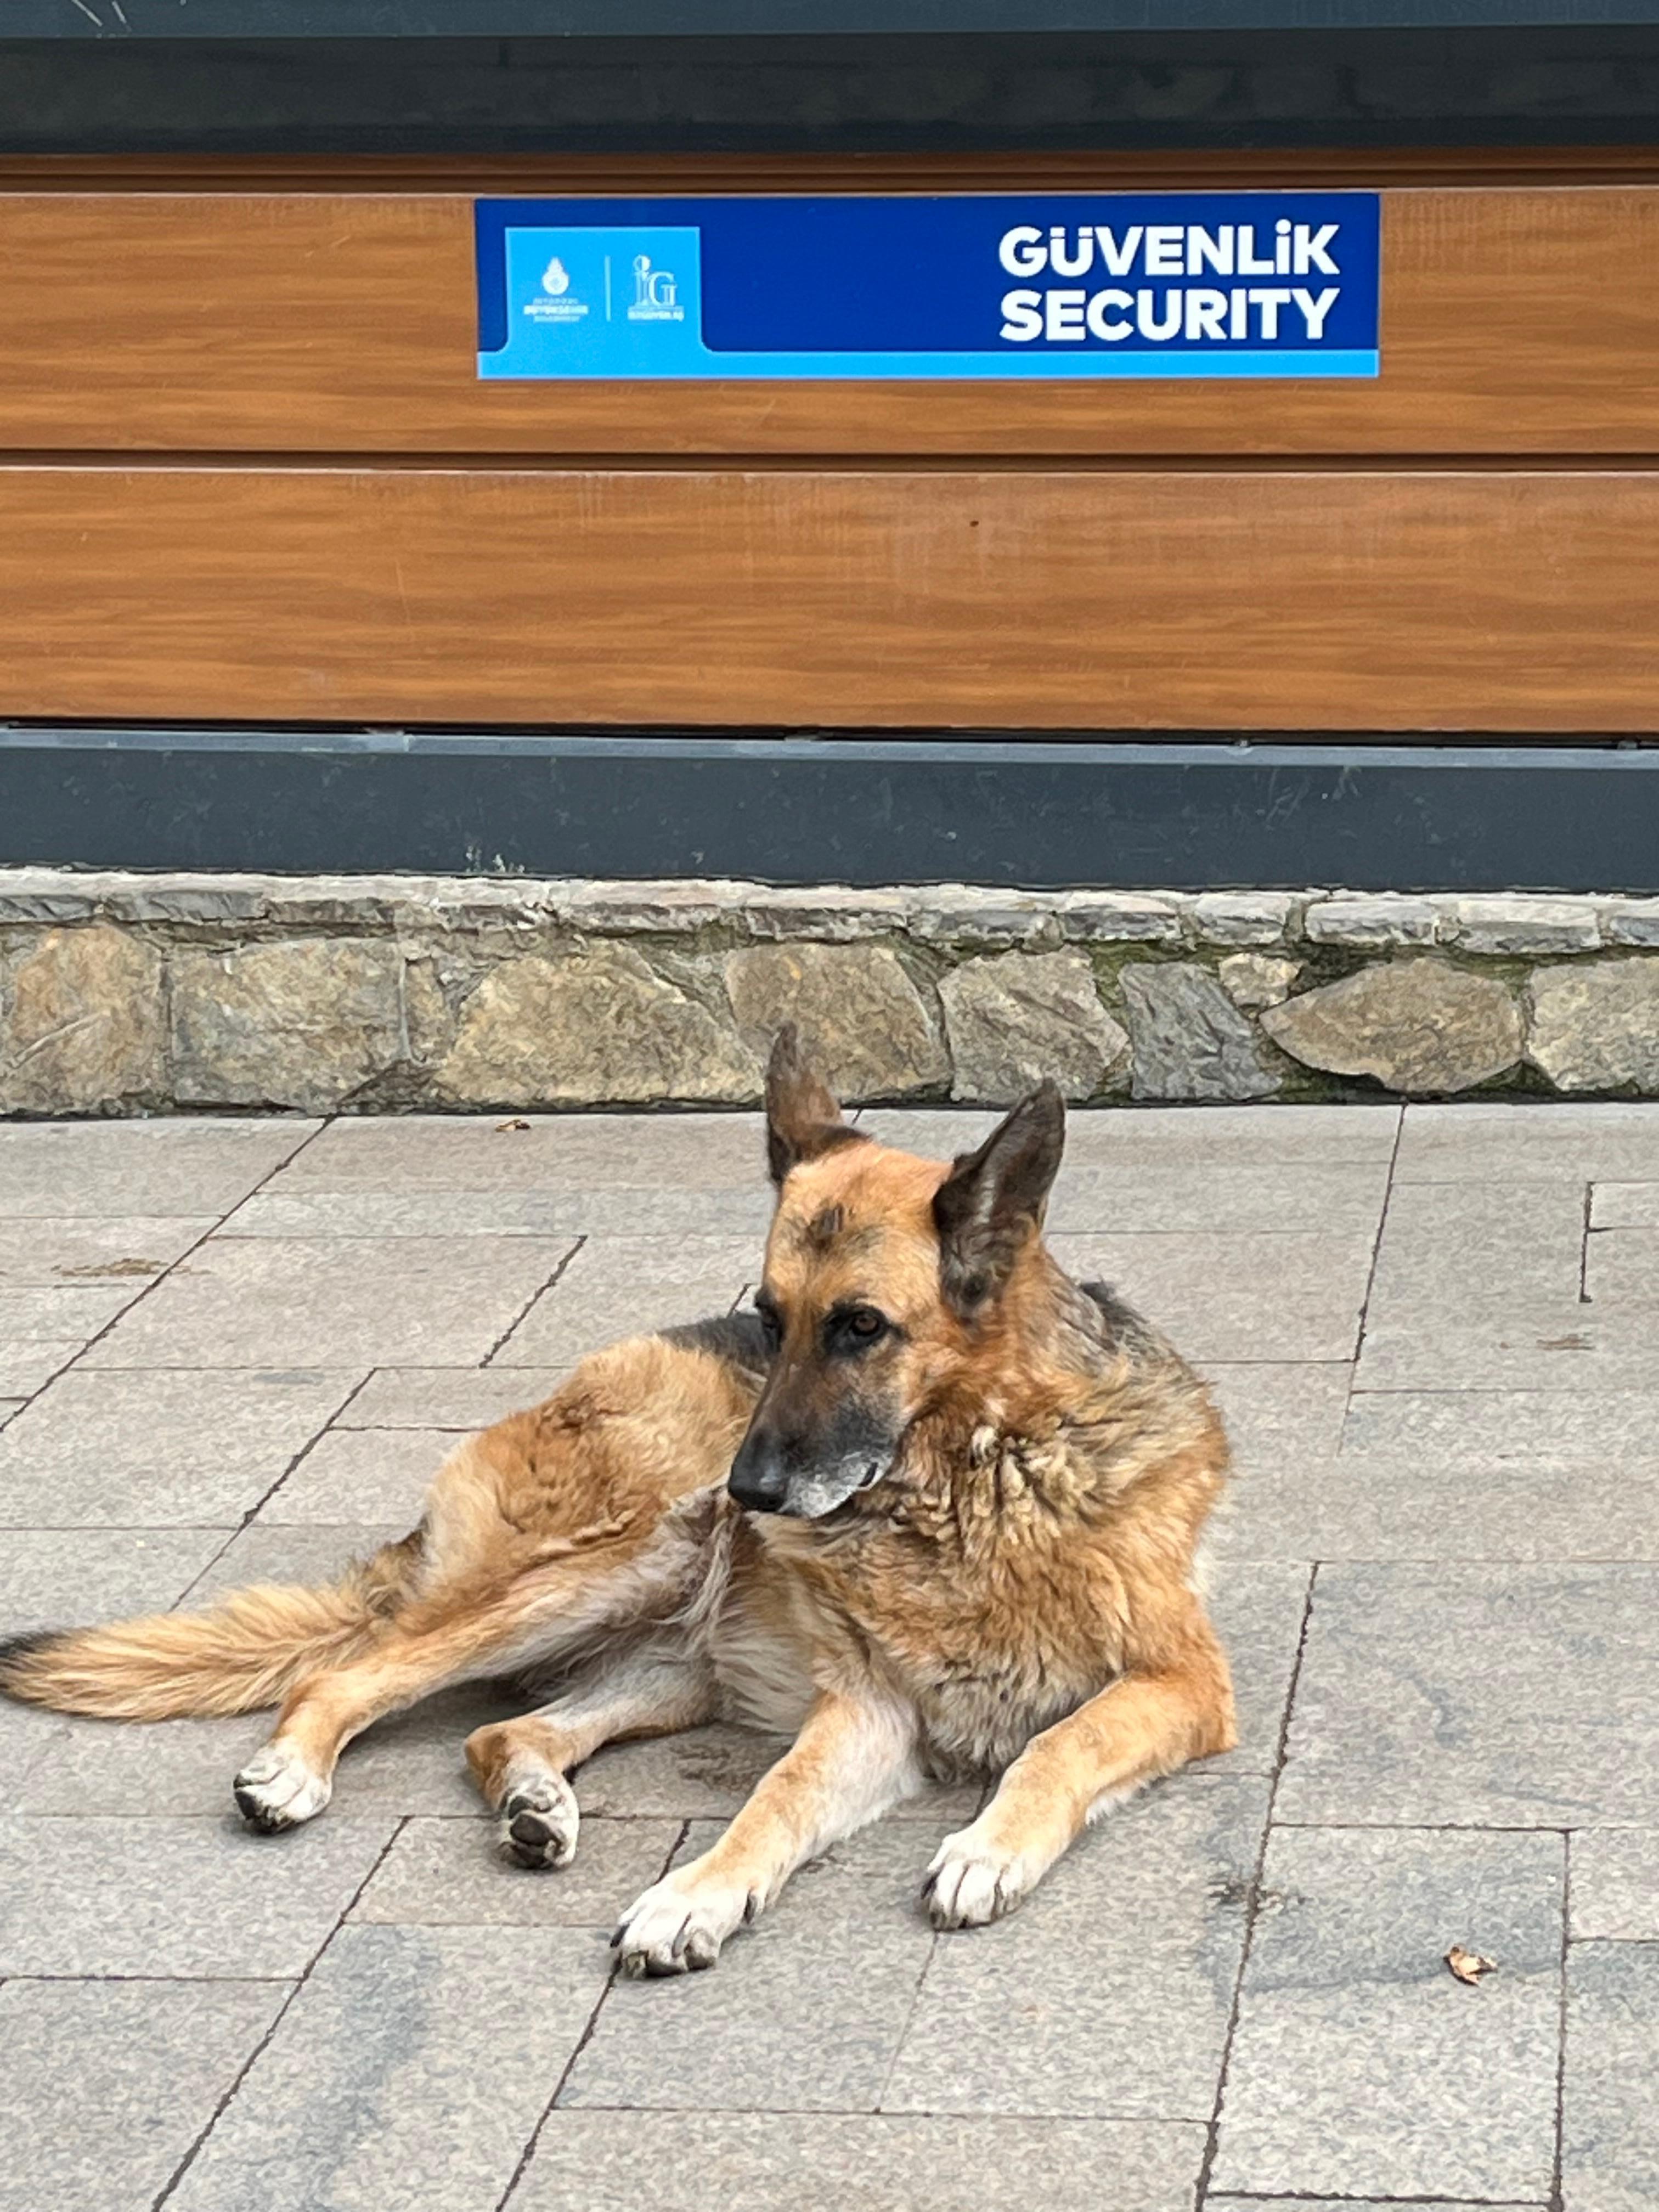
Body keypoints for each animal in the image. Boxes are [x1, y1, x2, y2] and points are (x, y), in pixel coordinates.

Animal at [0, 1026, 1238, 1982]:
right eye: (770, 1316)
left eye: (860, 1327)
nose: (754, 1495)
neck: (973, 1474)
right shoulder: (868, 1714)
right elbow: (773, 1801)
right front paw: (697, 1889)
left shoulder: (1179, 1682)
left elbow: (1061, 1741)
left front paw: (987, 1846)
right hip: (621, 1557)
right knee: (349, 1673)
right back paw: (298, 1769)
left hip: (674, 1654)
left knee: (501, 1729)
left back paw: (533, 1802)